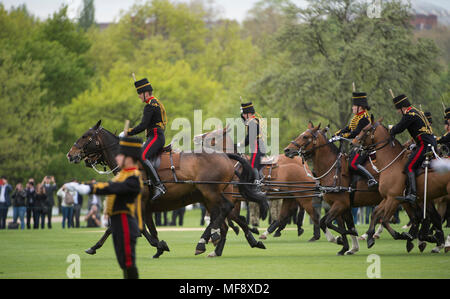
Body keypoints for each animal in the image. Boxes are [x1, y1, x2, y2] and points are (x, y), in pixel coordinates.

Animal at [65, 120, 266, 258]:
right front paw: (94, 247)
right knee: (224, 220)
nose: (70, 155)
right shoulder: (144, 207)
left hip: (211, 193)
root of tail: (225, 156)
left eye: (85, 136)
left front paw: (160, 245)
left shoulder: (140, 204)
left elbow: (139, 228)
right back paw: (220, 245)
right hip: (208, 198)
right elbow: (138, 228)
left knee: (226, 212)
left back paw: (205, 243)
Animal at [354, 119, 448, 253]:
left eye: (365, 129)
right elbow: (376, 213)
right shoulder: (388, 198)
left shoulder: (394, 199)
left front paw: (402, 235)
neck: (392, 162)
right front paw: (370, 237)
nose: (354, 143)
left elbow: (385, 220)